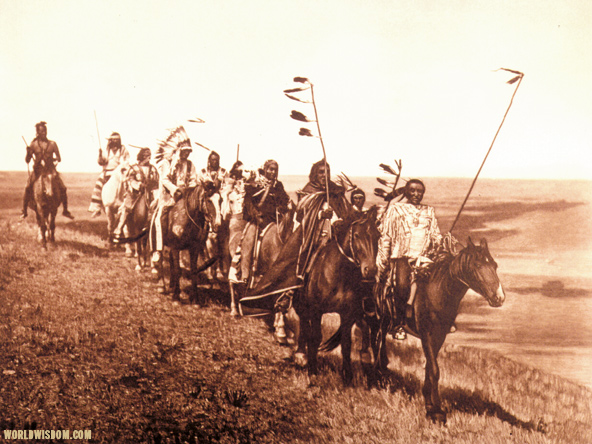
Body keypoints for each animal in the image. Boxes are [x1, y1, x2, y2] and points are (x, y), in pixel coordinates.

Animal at [294, 207, 382, 386]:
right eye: (357, 235)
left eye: (377, 235)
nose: (370, 270)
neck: (338, 274)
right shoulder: (316, 310)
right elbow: (315, 337)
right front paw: (313, 371)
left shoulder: (347, 314)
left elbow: (346, 344)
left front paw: (347, 377)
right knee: (304, 323)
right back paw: (301, 355)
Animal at [374, 238, 504, 424]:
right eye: (477, 265)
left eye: (494, 265)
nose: (499, 298)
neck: (437, 293)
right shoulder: (426, 334)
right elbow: (435, 370)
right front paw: (437, 412)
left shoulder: (439, 336)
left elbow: (430, 368)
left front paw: (429, 405)